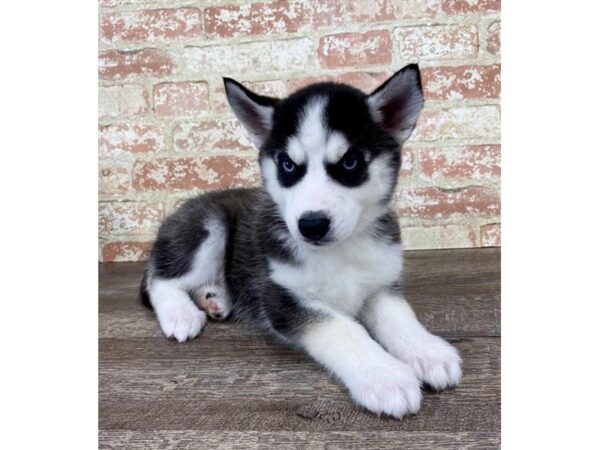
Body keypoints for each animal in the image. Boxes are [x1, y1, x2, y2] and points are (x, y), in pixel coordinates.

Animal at [142, 65, 464, 420]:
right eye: (288, 165)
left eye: (350, 162)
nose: (311, 225)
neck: (340, 252)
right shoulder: (282, 297)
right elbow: (342, 329)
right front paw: (384, 377)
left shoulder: (379, 285)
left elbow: (400, 318)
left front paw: (427, 351)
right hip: (209, 226)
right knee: (161, 280)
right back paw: (181, 314)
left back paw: (216, 298)